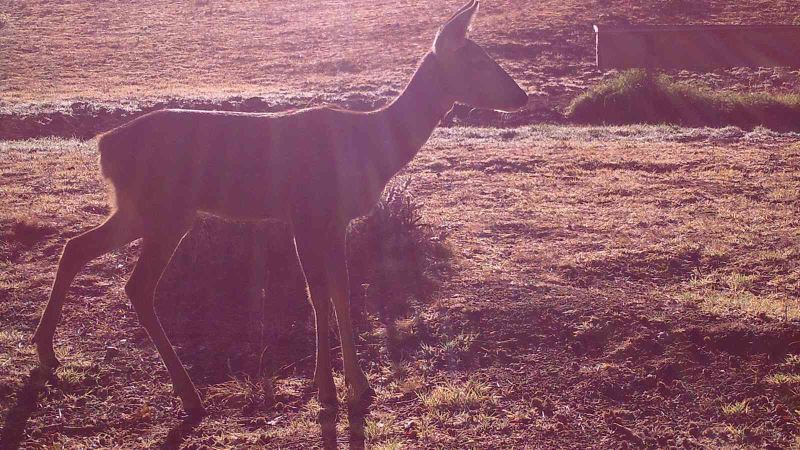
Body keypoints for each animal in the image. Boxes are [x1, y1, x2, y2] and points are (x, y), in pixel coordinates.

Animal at [31, 1, 528, 448]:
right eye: (477, 59)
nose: (522, 96)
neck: (371, 146)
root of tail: (104, 145)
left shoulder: (333, 221)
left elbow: (342, 292)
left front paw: (359, 386)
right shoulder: (306, 212)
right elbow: (318, 294)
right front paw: (328, 391)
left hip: (139, 210)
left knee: (76, 246)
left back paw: (47, 351)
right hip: (168, 212)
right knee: (136, 285)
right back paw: (189, 396)